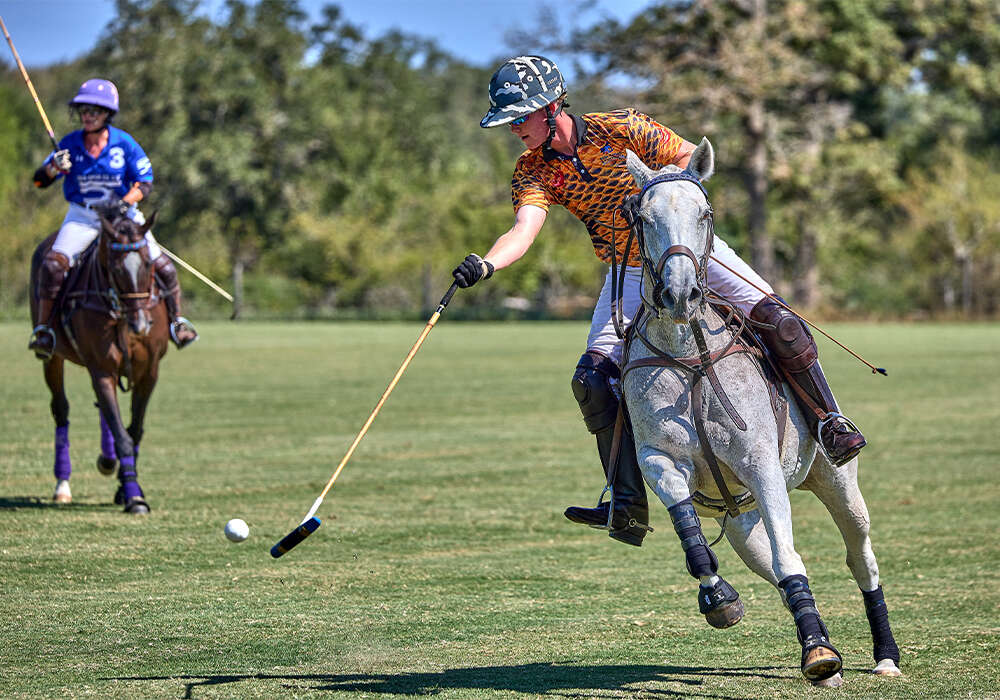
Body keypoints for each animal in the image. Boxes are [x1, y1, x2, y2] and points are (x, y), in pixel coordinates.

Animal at [30, 211, 169, 512]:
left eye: (148, 263)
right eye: (115, 269)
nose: (141, 324)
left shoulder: (149, 372)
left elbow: (133, 430)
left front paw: (125, 487)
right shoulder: (102, 368)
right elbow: (123, 435)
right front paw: (134, 497)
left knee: (104, 410)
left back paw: (108, 462)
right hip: (53, 356)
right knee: (61, 409)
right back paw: (63, 486)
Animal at [620, 139, 904, 688]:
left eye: (705, 213)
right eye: (642, 217)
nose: (681, 295)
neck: (689, 357)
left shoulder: (762, 466)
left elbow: (794, 555)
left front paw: (819, 654)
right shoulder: (659, 460)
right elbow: (690, 528)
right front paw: (718, 597)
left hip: (836, 481)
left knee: (858, 557)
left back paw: (883, 655)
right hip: (739, 519)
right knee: (776, 561)